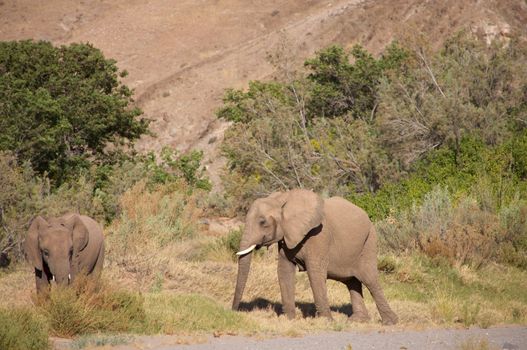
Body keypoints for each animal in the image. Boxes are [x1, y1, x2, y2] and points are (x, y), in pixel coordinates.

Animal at [233, 189, 398, 326]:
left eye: (262, 222)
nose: (233, 311)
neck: (284, 198)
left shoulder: (319, 235)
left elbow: (315, 273)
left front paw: (326, 322)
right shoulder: (287, 237)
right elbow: (284, 271)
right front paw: (289, 320)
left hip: (369, 242)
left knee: (369, 279)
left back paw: (390, 322)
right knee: (352, 282)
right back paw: (358, 321)